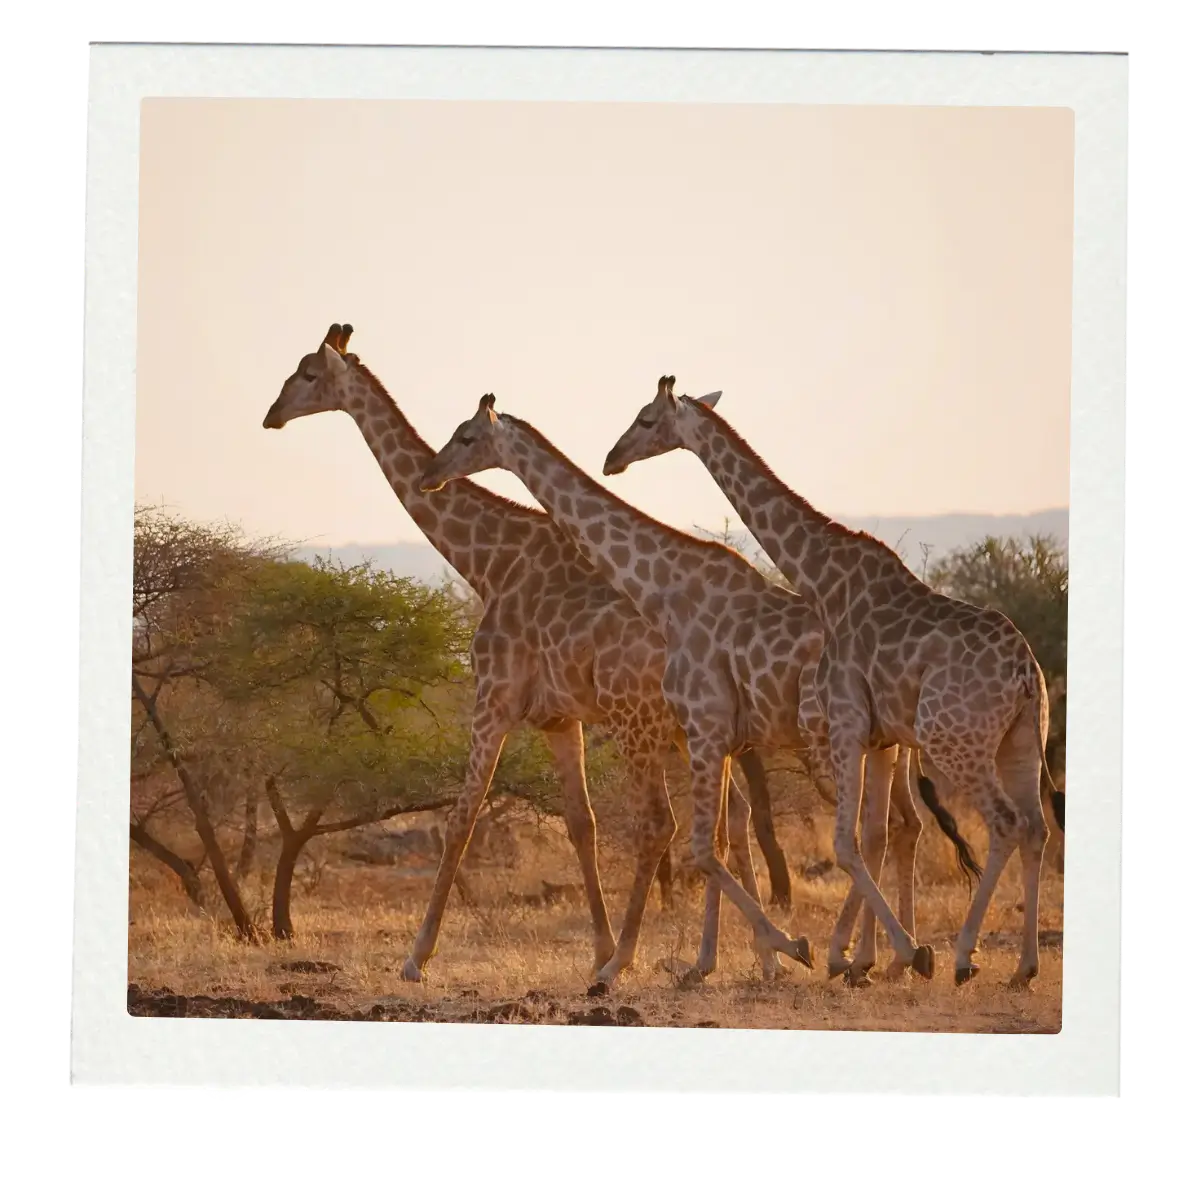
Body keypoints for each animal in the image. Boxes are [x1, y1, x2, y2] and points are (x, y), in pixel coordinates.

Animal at [260, 325, 788, 988]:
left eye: (307, 374)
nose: (271, 416)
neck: (489, 561)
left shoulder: (493, 698)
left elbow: (461, 818)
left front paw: (416, 957)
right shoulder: (559, 718)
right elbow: (581, 823)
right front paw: (598, 944)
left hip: (644, 723)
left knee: (667, 823)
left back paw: (667, 960)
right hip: (688, 731)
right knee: (724, 817)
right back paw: (748, 958)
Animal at [417, 393, 973, 984]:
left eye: (467, 435)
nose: (430, 475)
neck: (666, 589)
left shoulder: (689, 729)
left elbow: (697, 842)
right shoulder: (713, 736)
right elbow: (720, 840)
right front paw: (722, 960)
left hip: (835, 740)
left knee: (872, 829)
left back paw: (877, 954)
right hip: (885, 743)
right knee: (893, 826)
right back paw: (893, 955)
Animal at [602, 377, 1067, 988]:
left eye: (648, 419)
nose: (611, 459)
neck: (822, 579)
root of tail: (1026, 673)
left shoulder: (849, 721)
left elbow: (850, 840)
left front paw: (864, 955)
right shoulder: (876, 733)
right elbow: (868, 836)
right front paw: (867, 955)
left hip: (953, 739)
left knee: (1005, 824)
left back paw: (965, 956)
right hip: (1020, 738)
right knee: (1035, 827)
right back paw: (1023, 967)